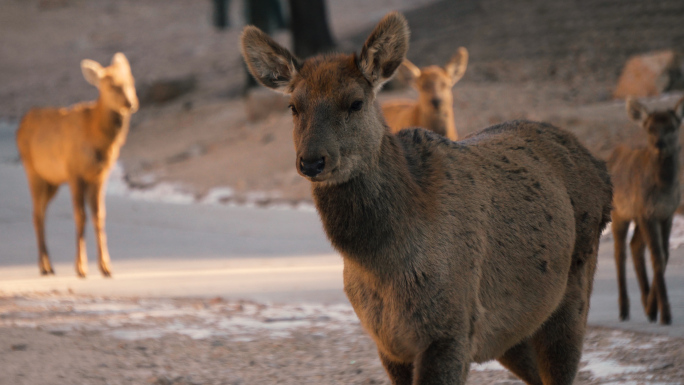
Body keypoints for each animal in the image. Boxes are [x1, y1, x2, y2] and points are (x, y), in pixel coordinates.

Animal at [16, 53, 138, 276]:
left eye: (130, 81)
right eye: (111, 85)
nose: (131, 103)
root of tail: (21, 124)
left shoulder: (100, 176)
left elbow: (99, 216)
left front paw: (106, 267)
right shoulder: (74, 172)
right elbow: (80, 216)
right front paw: (81, 268)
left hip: (52, 181)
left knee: (41, 212)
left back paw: (48, 265)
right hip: (32, 171)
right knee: (37, 214)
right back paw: (44, 266)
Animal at [243, 12, 612, 384]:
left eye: (355, 102)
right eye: (293, 106)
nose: (311, 161)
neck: (384, 265)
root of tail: (602, 170)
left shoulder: (450, 327)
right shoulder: (388, 343)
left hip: (571, 294)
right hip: (514, 327)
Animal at [608, 96, 684, 324]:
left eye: (671, 126)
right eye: (650, 128)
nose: (660, 144)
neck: (663, 188)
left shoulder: (666, 214)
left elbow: (664, 255)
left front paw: (654, 308)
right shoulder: (647, 214)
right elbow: (657, 256)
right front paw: (665, 313)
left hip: (638, 216)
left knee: (635, 246)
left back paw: (645, 302)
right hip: (620, 213)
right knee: (620, 252)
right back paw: (624, 309)